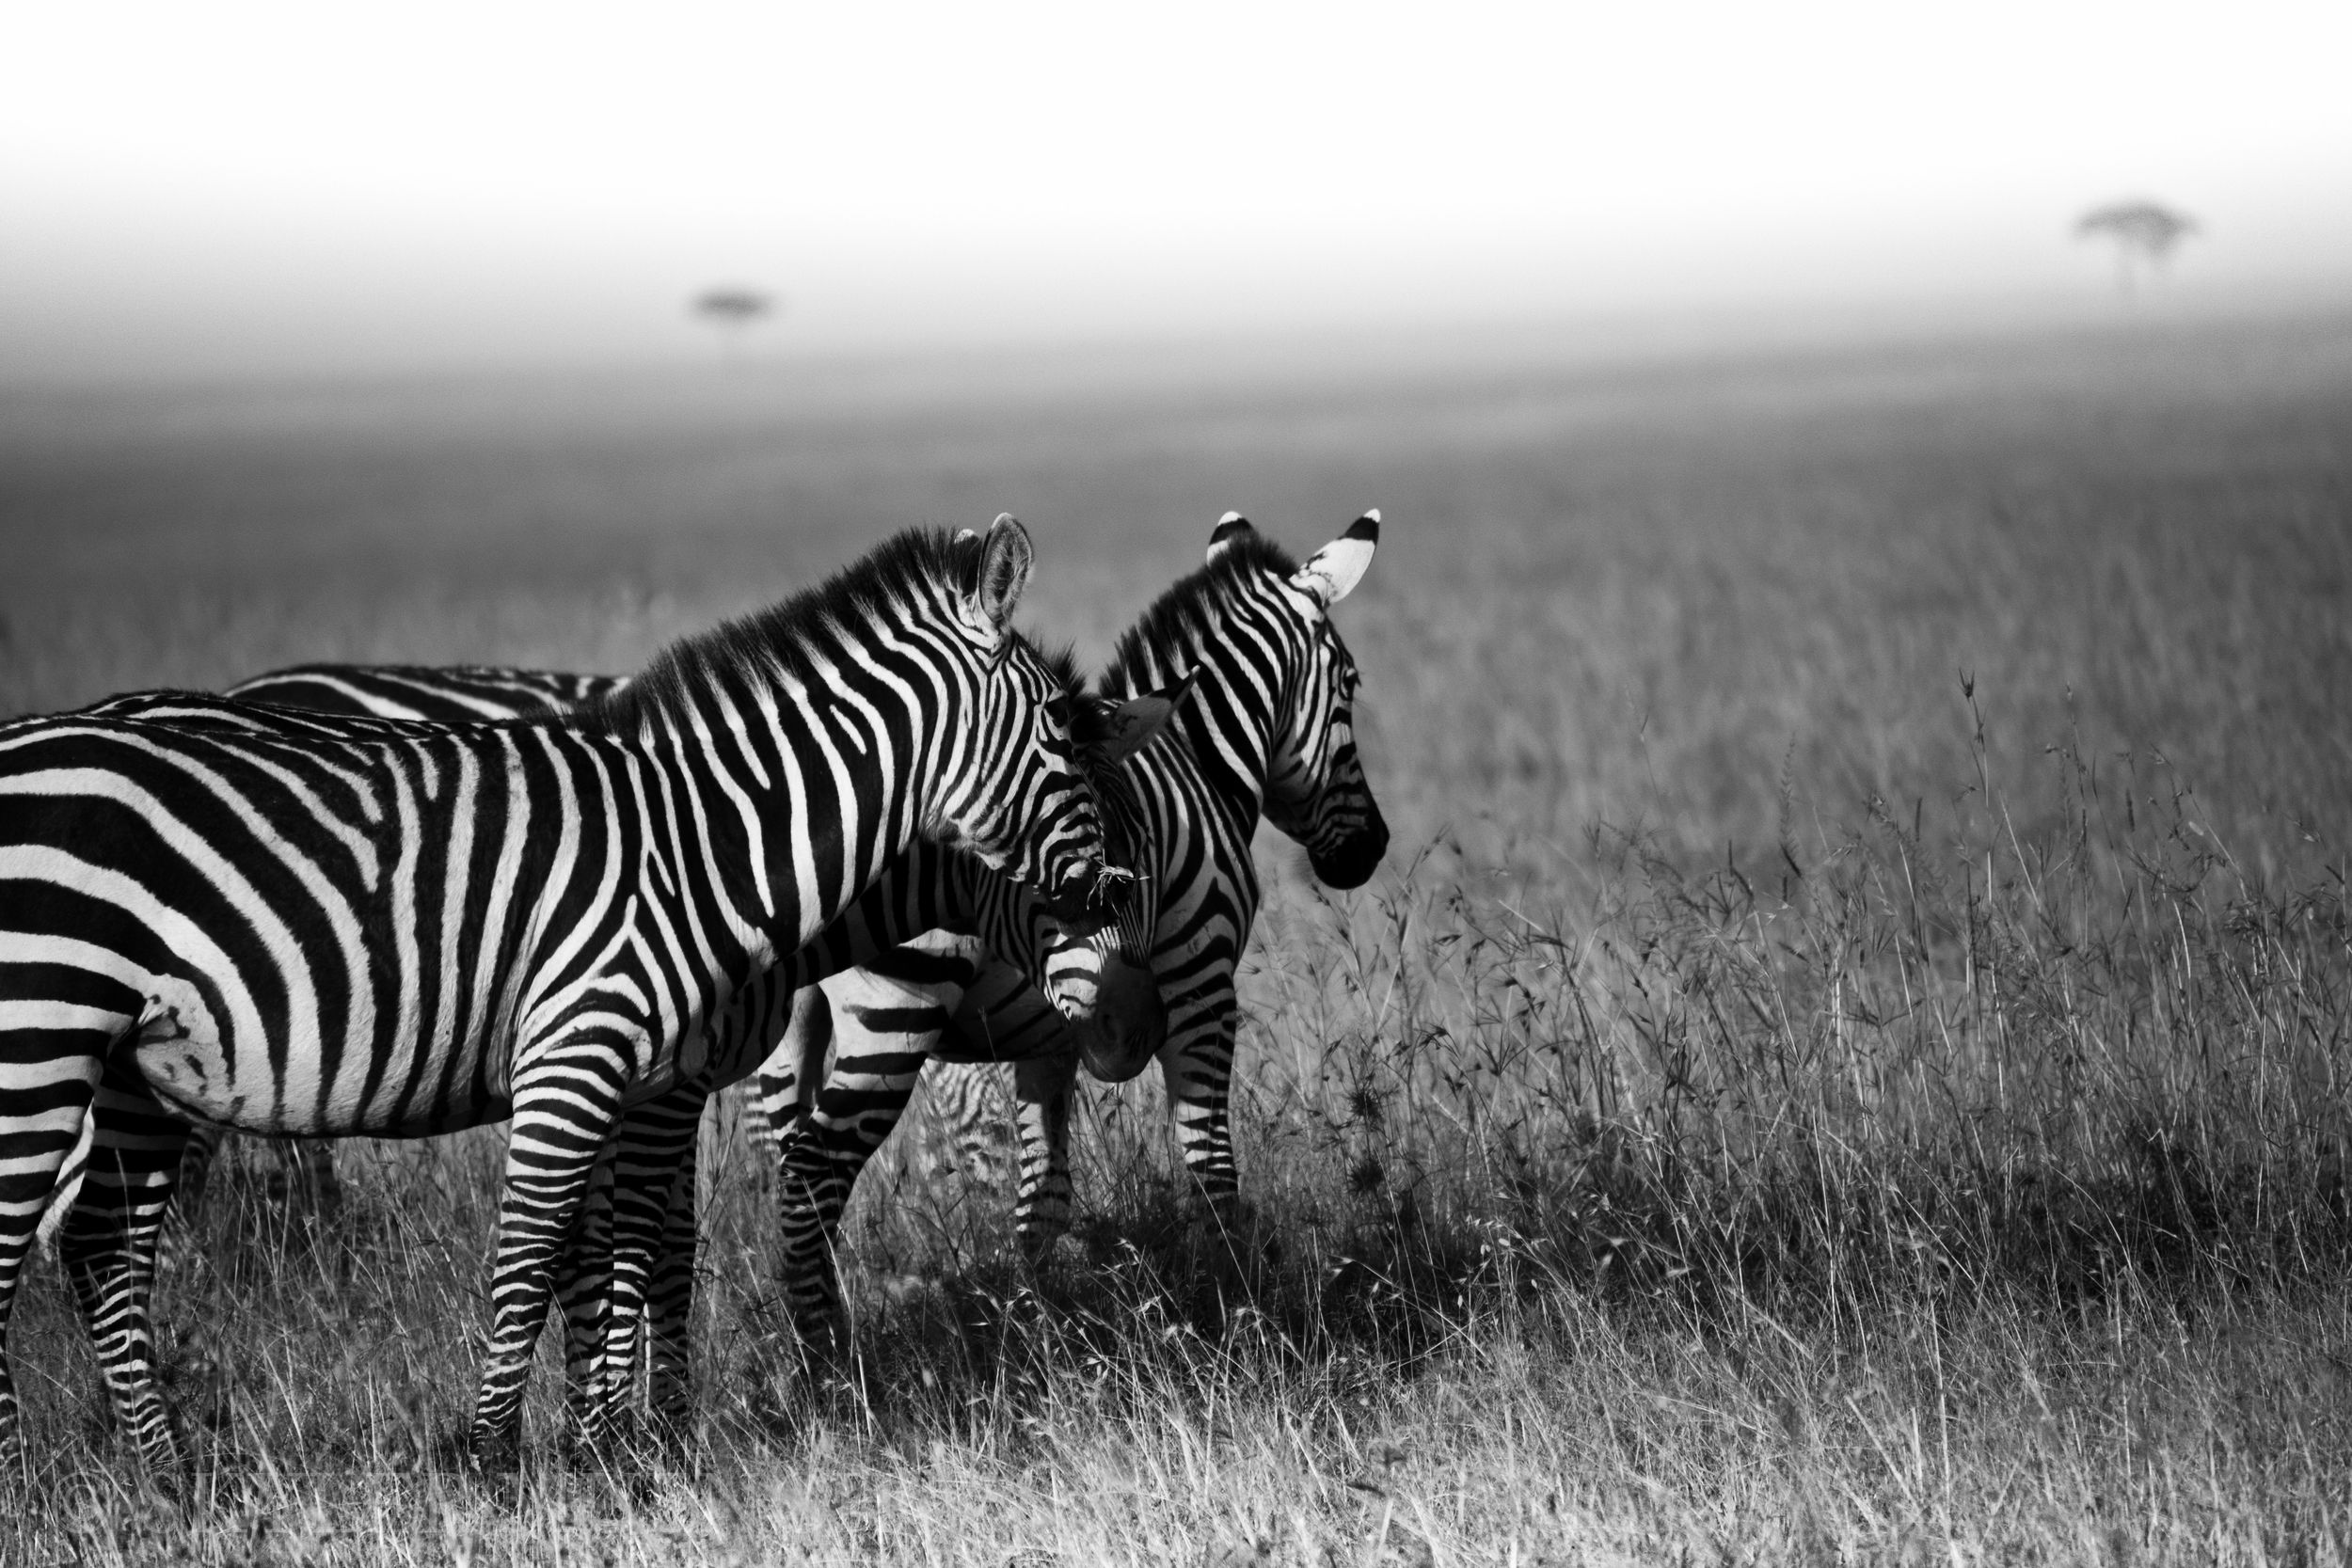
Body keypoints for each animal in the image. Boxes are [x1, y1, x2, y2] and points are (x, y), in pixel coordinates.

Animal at [0, 517, 1118, 1470]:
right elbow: (548, 1246)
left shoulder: (635, 1073)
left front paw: (604, 1441)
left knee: (101, 1242)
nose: (1111, 901)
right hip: (40, 1034)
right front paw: (513, 1454)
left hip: (138, 1063)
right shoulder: (589, 1050)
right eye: (1064, 738)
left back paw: (163, 1468)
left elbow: (607, 1246)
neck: (700, 842)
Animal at [751, 510, 1389, 1329]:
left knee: (786, 1157)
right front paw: (1241, 1299)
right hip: (896, 1008)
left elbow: (1043, 1196)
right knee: (816, 1170)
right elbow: (1210, 1163)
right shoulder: (1203, 984)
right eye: (1350, 683)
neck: (1200, 763)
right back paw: (829, 1343)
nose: (1371, 850)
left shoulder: (1047, 1039)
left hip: (788, 1023)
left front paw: (1035, 1313)